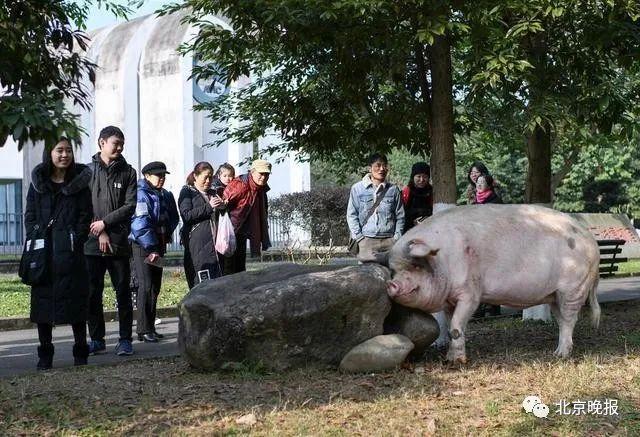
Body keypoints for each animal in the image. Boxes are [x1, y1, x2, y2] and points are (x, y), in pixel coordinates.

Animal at [384, 203, 600, 362]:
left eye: (415, 265)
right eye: (394, 270)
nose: (391, 284)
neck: (444, 259)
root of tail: (592, 241)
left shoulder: (471, 293)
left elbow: (455, 326)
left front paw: (457, 362)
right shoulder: (450, 300)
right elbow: (452, 325)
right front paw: (450, 359)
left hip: (573, 288)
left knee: (570, 319)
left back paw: (561, 355)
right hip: (554, 295)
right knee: (562, 320)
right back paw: (557, 353)